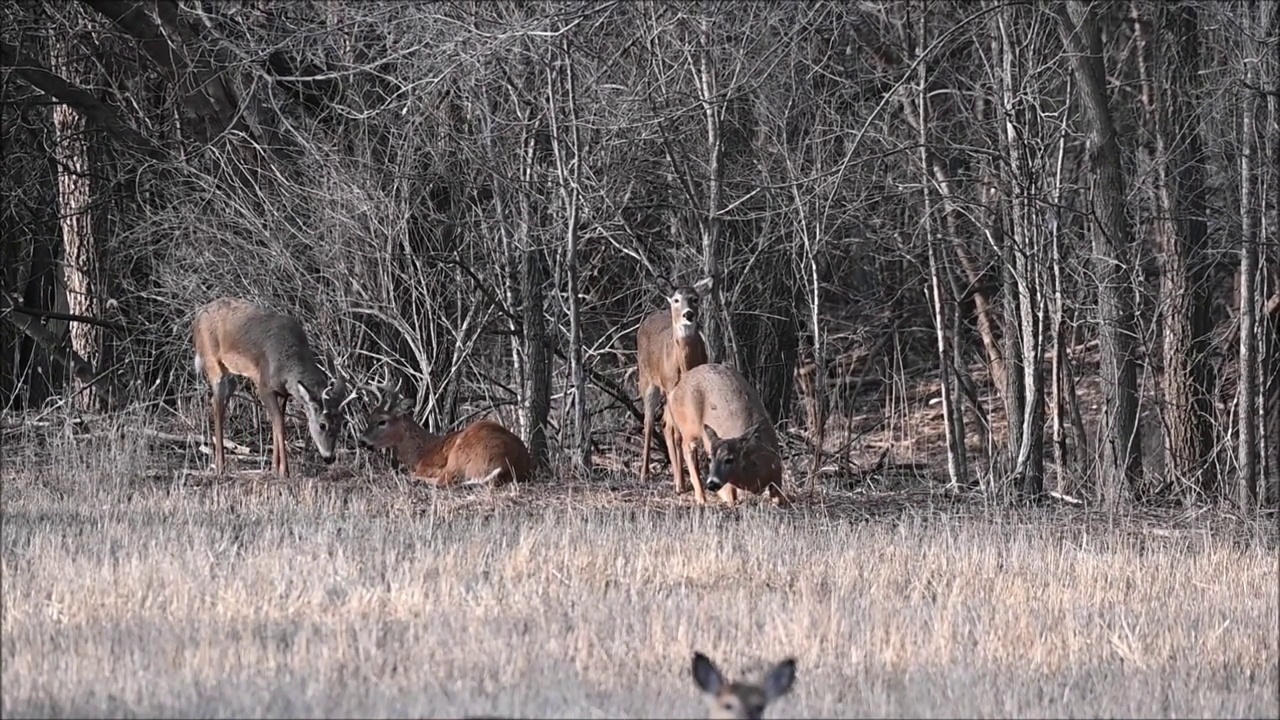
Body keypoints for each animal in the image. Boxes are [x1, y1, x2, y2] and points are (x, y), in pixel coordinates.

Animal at [189, 294, 353, 474]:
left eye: (340, 423)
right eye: (322, 425)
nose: (330, 458)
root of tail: (197, 317)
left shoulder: (283, 392)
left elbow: (276, 423)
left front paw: (275, 467)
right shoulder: (264, 386)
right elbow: (279, 424)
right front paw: (284, 471)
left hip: (231, 374)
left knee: (217, 401)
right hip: (213, 363)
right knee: (217, 403)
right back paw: (220, 465)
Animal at [360, 371, 535, 484]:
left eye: (382, 421)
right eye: (370, 417)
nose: (362, 440)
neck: (420, 452)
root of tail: (507, 464)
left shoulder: (428, 465)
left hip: (460, 454)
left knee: (443, 480)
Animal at [637, 274, 716, 486]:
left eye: (695, 298)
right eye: (676, 300)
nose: (688, 314)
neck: (684, 366)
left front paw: (694, 474)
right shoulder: (670, 388)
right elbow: (678, 433)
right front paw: (682, 481)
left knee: (666, 423)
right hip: (647, 380)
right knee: (649, 422)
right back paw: (646, 474)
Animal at [660, 361, 788, 502]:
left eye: (729, 459)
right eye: (710, 459)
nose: (712, 484)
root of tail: (674, 392)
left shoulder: (777, 471)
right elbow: (731, 498)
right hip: (689, 425)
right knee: (686, 446)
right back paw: (700, 497)